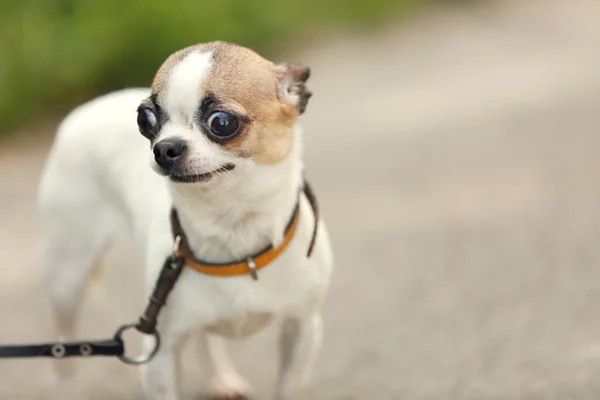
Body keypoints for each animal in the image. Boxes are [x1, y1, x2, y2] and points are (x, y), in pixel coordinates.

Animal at [37, 41, 332, 400]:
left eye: (222, 123)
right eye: (145, 118)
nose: (165, 148)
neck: (232, 227)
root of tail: (85, 109)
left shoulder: (301, 330)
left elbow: (287, 387)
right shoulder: (159, 352)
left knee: (205, 336)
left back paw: (221, 378)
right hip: (68, 276)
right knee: (63, 344)